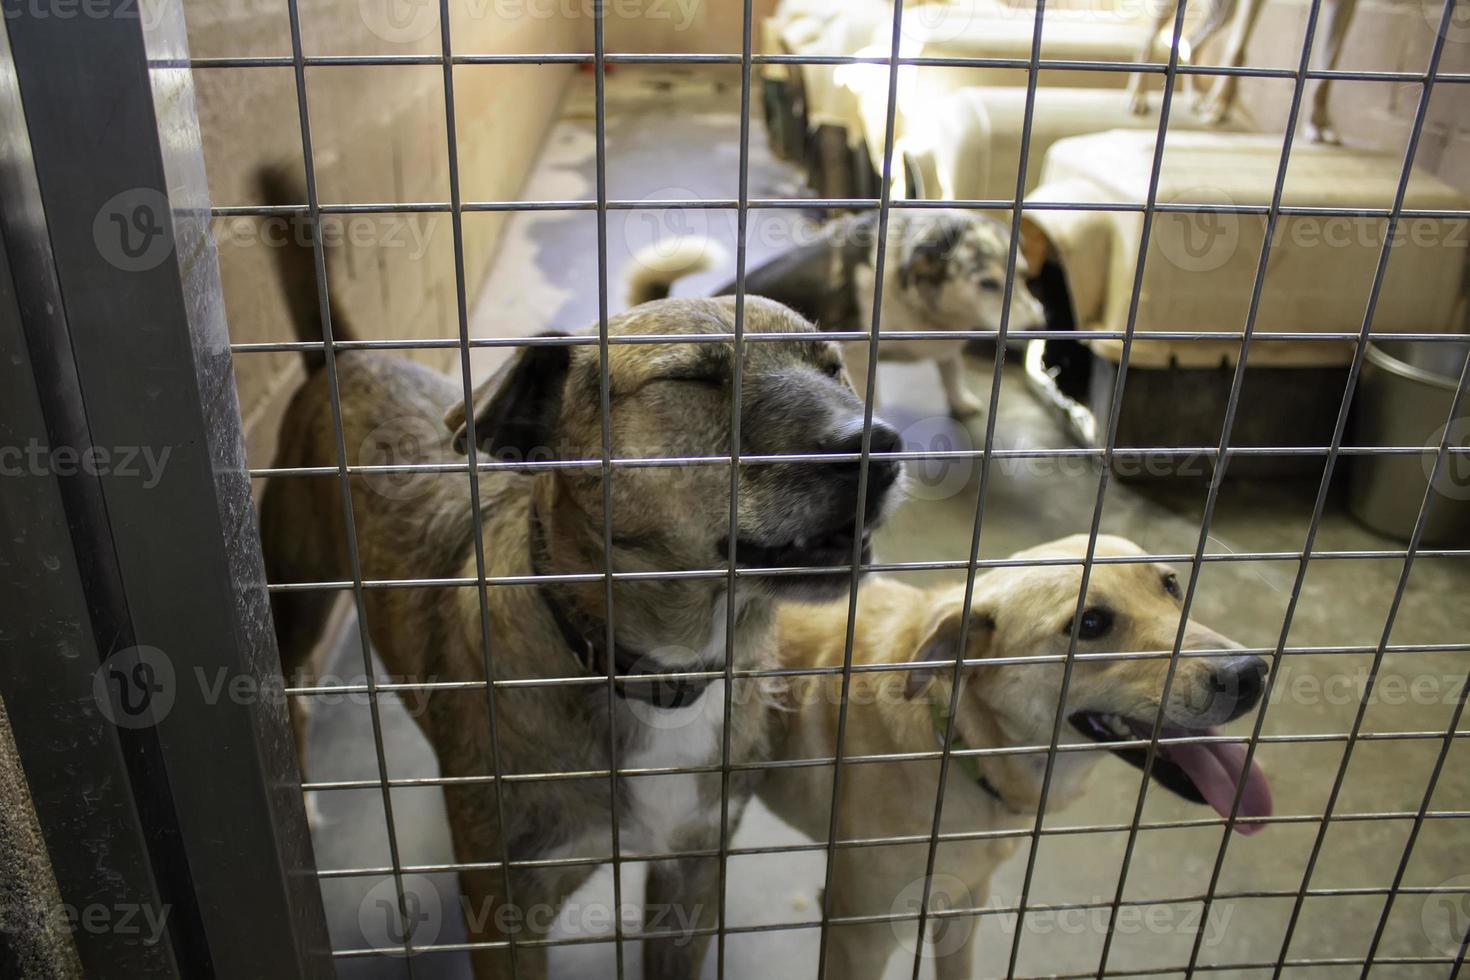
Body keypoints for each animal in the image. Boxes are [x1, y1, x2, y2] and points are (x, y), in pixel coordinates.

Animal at [255, 170, 905, 980]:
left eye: (833, 367)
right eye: (694, 378)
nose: (880, 448)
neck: (656, 673)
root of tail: (343, 357)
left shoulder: (690, 881)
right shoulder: (507, 915)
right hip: (295, 603)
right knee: (292, 696)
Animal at [626, 211, 1052, 417]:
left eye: (1025, 276)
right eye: (988, 283)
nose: (1039, 327)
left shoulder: (945, 349)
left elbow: (952, 371)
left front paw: (961, 403)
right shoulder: (859, 354)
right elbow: (870, 395)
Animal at [752, 537, 1270, 980]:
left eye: (1171, 585)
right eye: (1090, 624)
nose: (1250, 674)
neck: (959, 742)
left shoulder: (964, 900)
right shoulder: (859, 934)